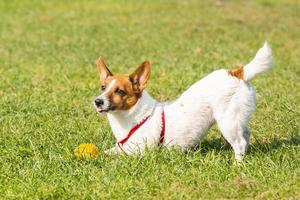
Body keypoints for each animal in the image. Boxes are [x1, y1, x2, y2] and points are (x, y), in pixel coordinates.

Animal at [93, 41, 272, 161]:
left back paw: (237, 164)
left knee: (240, 143)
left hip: (227, 122)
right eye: (103, 87)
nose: (97, 101)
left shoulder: (137, 151)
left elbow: (111, 156)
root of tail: (238, 73)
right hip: (237, 119)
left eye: (120, 91)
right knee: (246, 135)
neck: (133, 117)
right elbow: (106, 152)